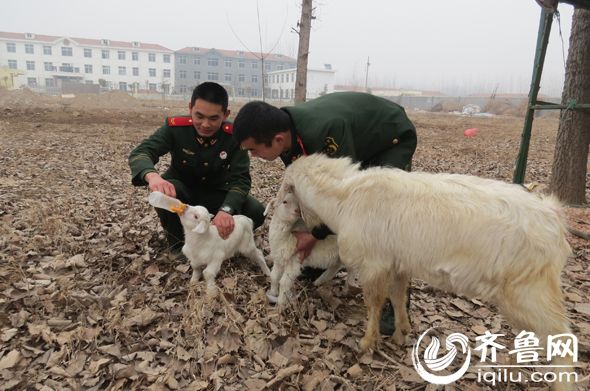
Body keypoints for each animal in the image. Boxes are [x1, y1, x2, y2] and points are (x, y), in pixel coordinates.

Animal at [280, 155, 576, 391]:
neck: (345, 196)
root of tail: (554, 216)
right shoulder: (398, 263)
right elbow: (397, 296)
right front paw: (401, 333)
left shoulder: (375, 264)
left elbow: (374, 303)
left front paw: (366, 342)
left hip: (529, 290)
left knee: (561, 336)